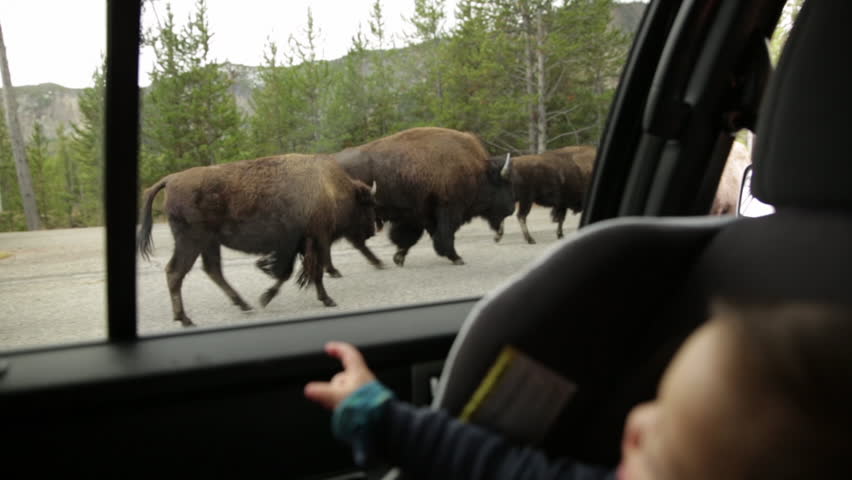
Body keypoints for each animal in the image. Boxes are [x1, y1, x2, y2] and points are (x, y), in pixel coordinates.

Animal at [137, 154, 380, 327]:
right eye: (366, 204)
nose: (372, 230)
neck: (329, 187)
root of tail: (170, 179)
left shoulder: (297, 246)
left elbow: (289, 273)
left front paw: (265, 298)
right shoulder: (317, 240)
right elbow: (312, 271)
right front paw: (327, 300)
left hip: (209, 243)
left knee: (212, 270)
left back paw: (243, 304)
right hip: (191, 242)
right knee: (175, 272)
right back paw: (185, 319)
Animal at [334, 127, 515, 266]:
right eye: (503, 184)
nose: (512, 209)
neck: (478, 172)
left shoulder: (416, 216)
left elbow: (408, 238)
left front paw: (398, 258)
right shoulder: (448, 210)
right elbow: (444, 236)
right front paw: (457, 258)